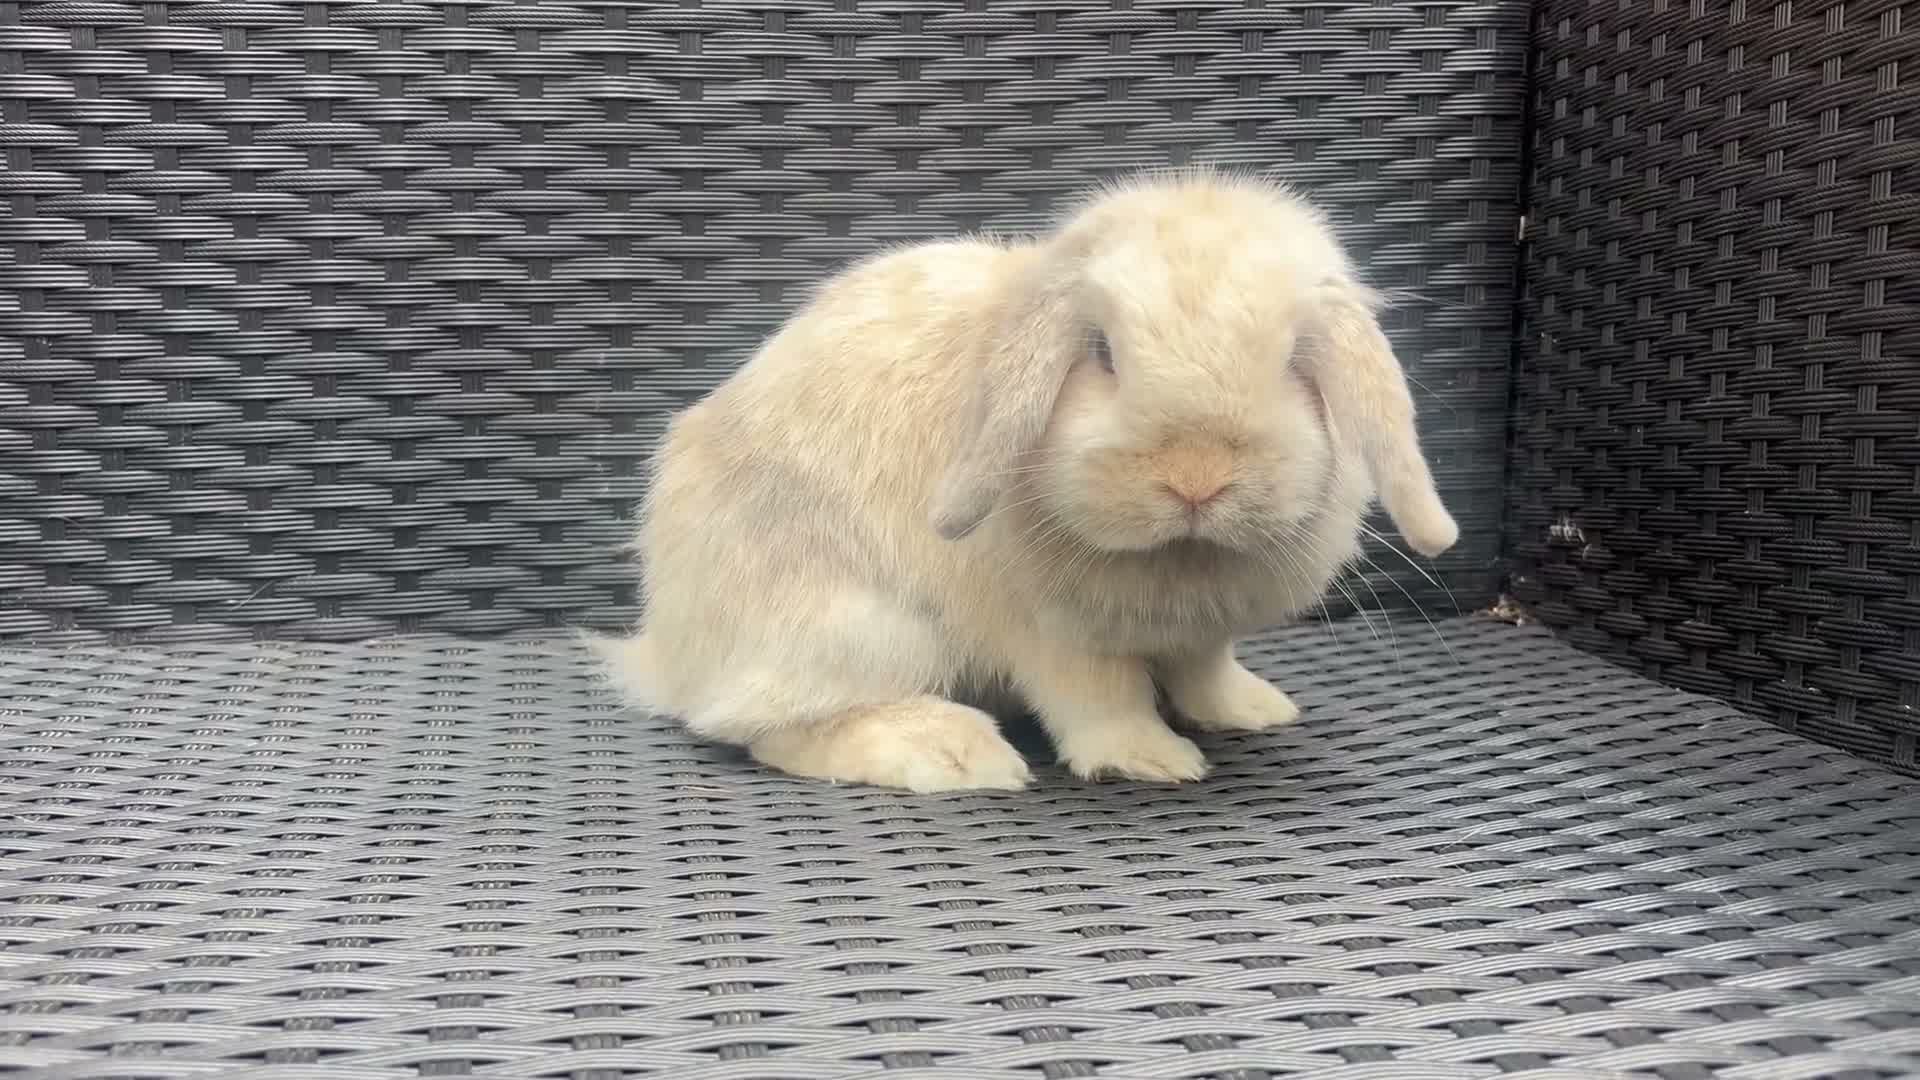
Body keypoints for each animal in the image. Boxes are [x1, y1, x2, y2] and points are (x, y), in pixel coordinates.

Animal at [594, 168, 1458, 793]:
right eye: (1103, 354)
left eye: (1294, 361)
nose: (1195, 481)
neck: (1180, 562)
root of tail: (673, 653)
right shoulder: (1052, 634)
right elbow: (1099, 699)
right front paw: (1151, 759)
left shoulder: (1198, 631)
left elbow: (1206, 669)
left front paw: (1251, 710)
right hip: (859, 628)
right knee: (765, 727)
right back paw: (950, 753)